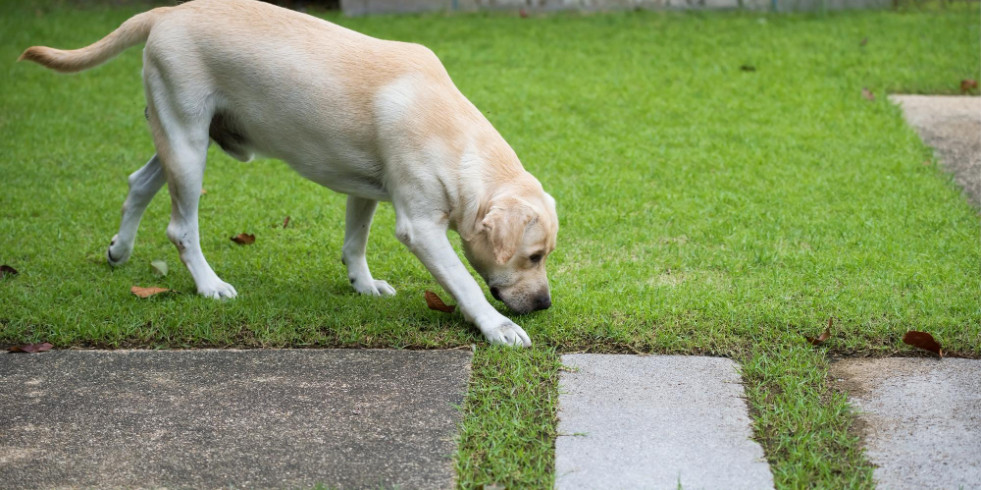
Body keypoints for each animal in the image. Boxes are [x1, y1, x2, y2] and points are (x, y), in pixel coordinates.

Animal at [21, 0, 560, 346]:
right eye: (534, 257)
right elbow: (465, 284)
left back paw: (120, 249)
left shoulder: (367, 189)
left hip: (181, 141)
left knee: (139, 182)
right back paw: (209, 285)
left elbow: (354, 244)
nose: (544, 305)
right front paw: (497, 327)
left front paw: (362, 285)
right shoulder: (421, 228)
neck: (453, 136)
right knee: (180, 228)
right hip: (189, 147)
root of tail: (166, 12)